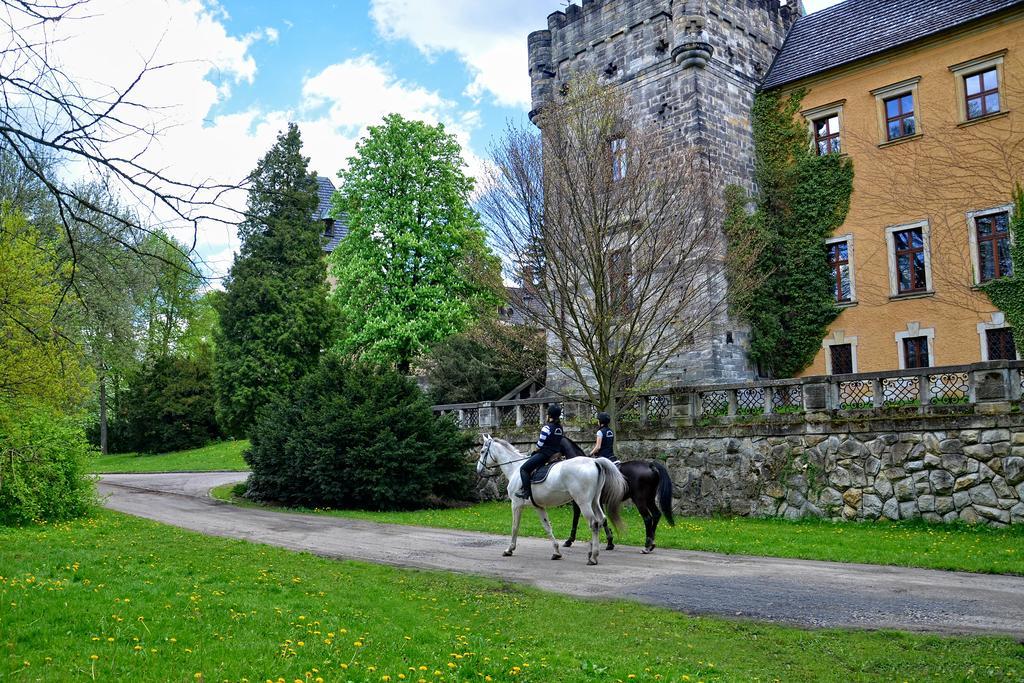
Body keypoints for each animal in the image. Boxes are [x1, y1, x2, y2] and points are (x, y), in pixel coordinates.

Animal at [475, 438, 626, 565]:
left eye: (482, 451)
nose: (478, 470)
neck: (516, 468)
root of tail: (594, 462)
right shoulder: (539, 507)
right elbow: (547, 527)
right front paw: (557, 552)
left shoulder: (516, 504)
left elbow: (515, 527)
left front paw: (509, 549)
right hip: (594, 502)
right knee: (601, 520)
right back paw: (595, 550)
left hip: (583, 503)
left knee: (594, 523)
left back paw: (593, 557)